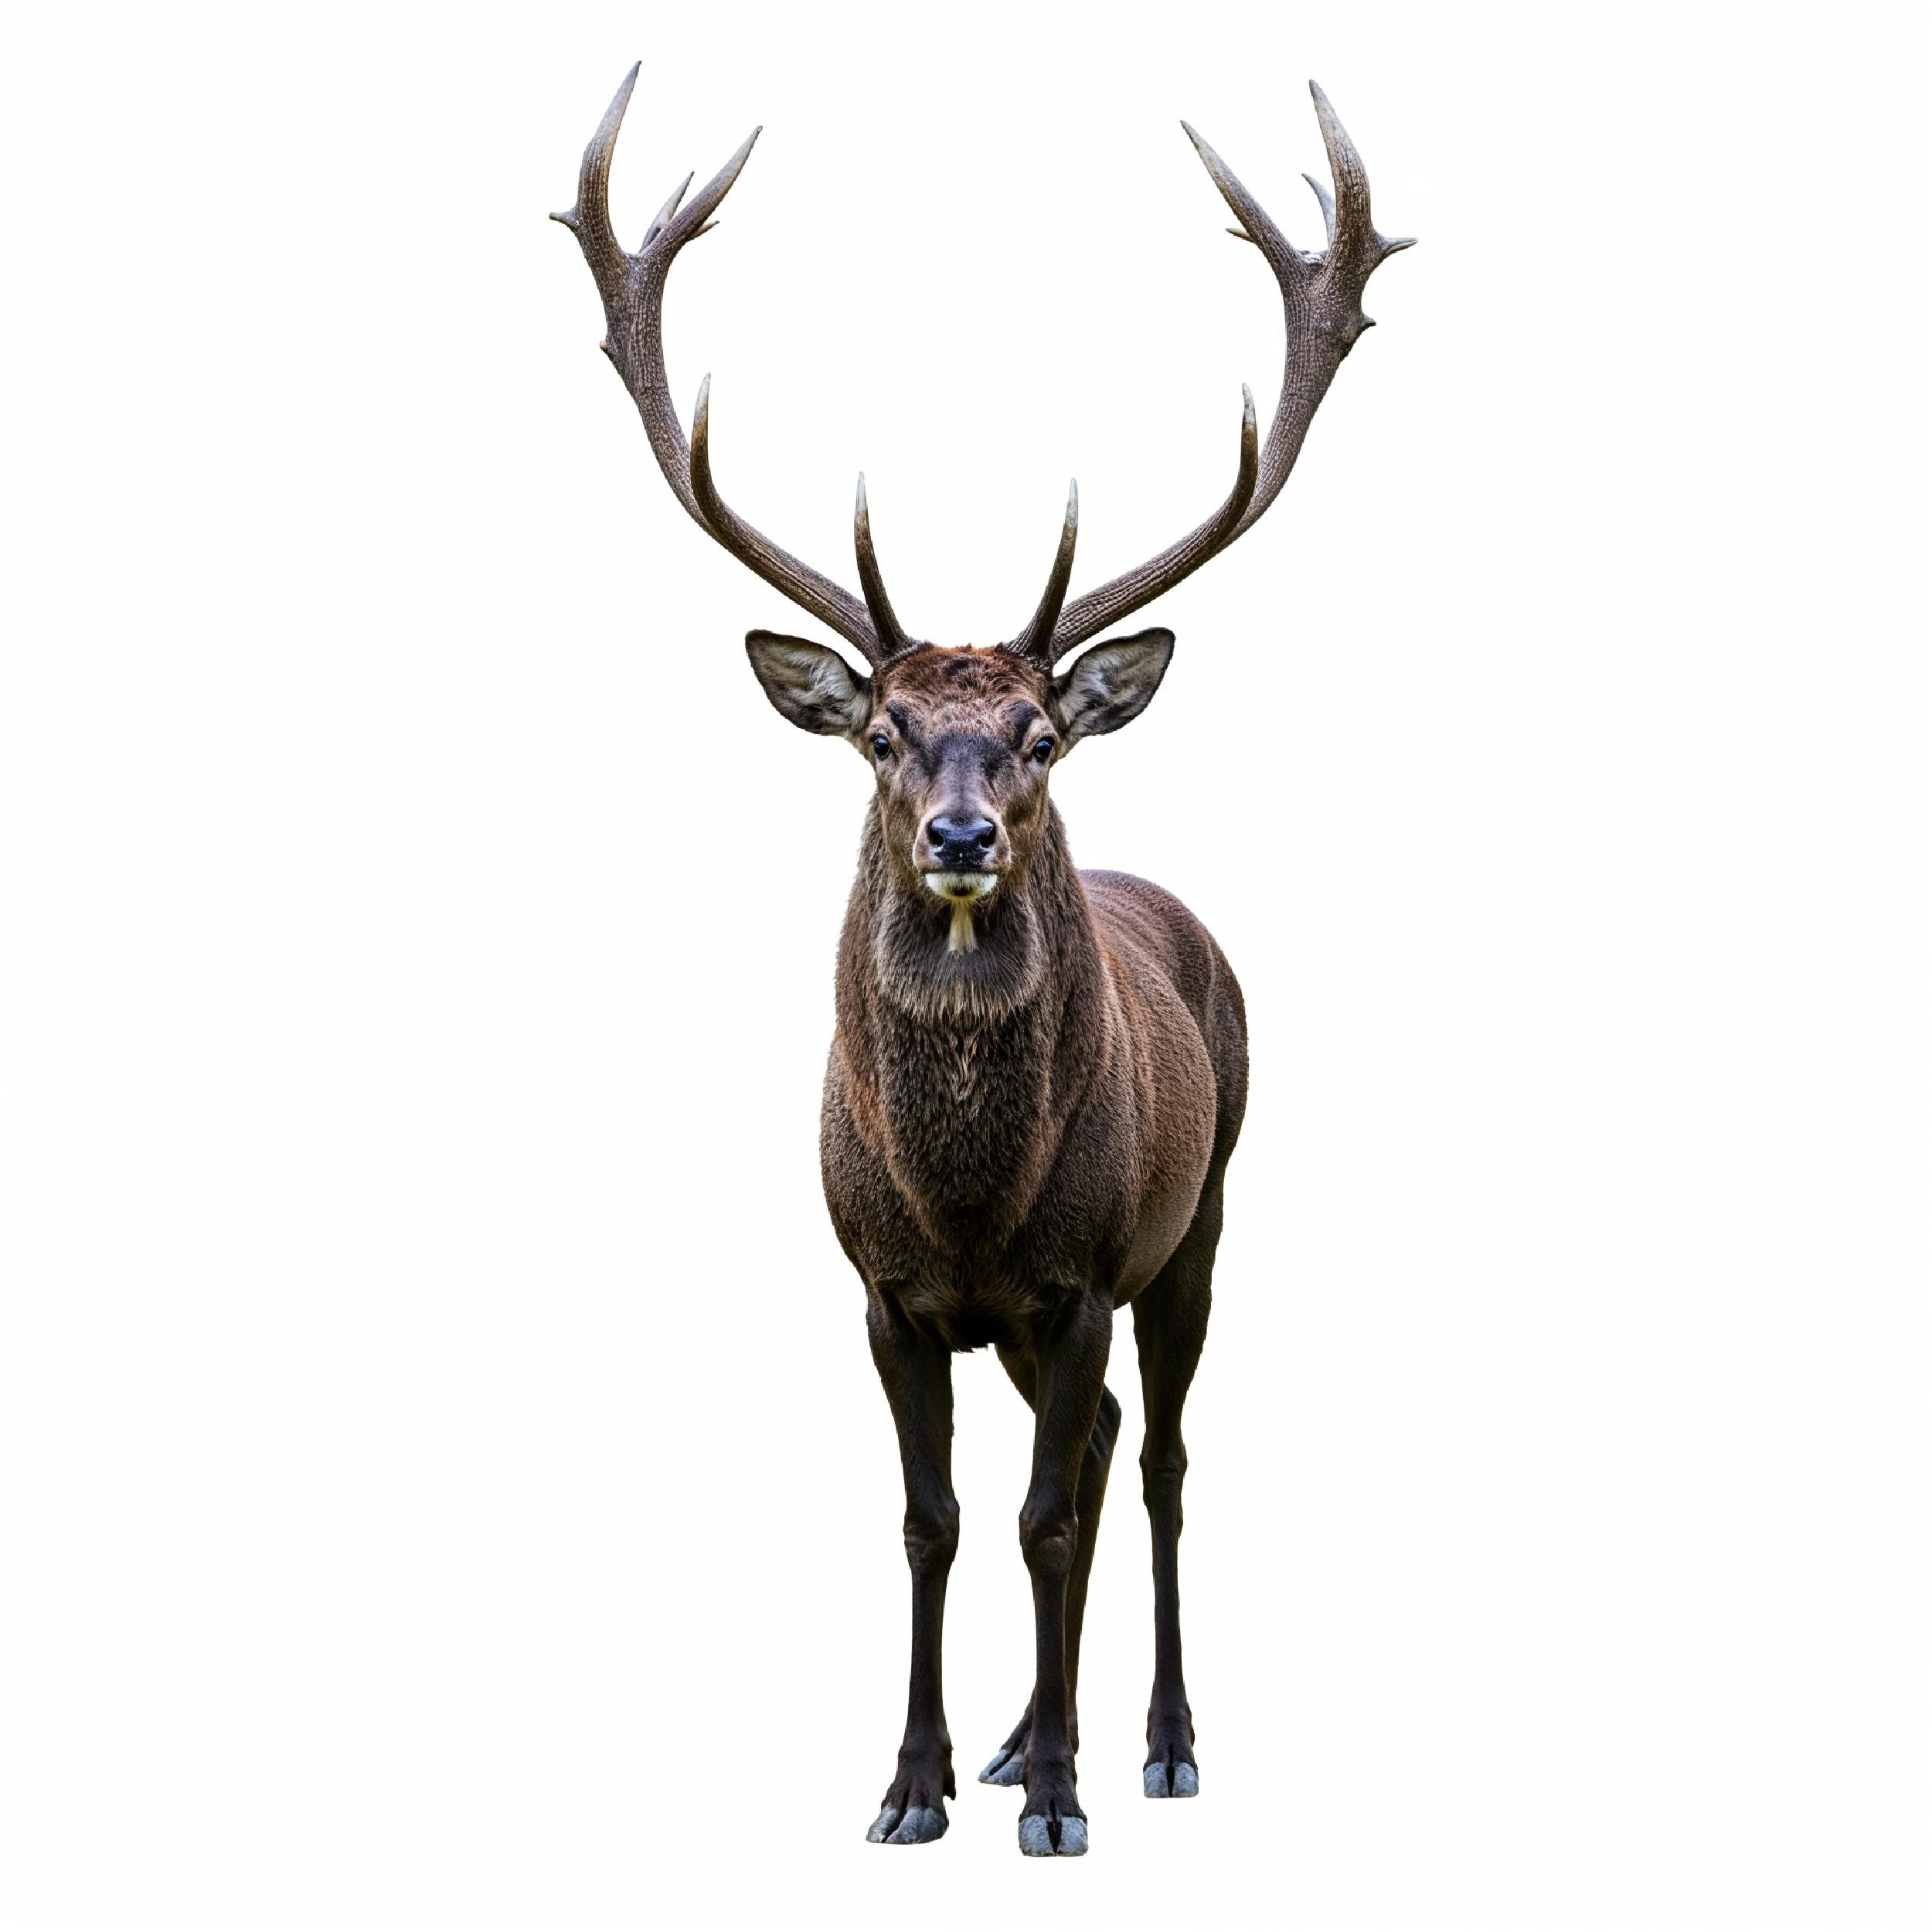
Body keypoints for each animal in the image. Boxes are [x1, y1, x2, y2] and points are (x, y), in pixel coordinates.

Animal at [554, 66, 1410, 1858]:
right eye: (880, 731)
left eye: (1037, 736)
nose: (960, 833)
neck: (966, 1198)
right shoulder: (886, 1293)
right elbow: (936, 1519)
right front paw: (916, 1781)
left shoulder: (1081, 1272)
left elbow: (1042, 1518)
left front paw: (1067, 1793)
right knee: (1090, 1448)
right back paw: (1026, 1733)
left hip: (1202, 1215)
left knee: (1148, 1460)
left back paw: (1154, 1740)